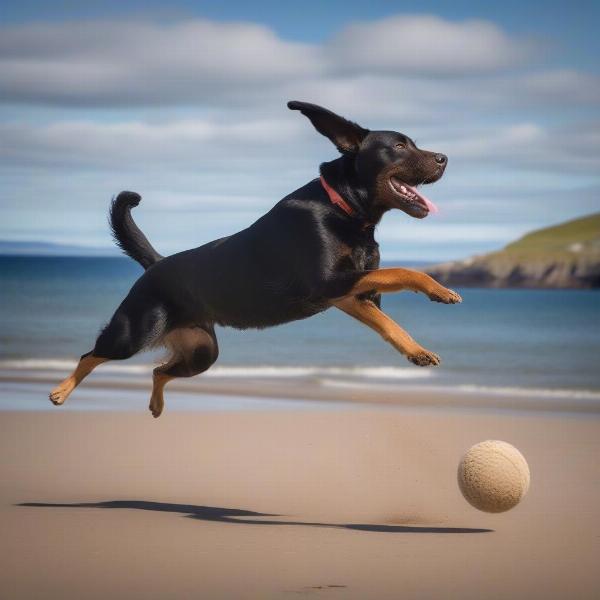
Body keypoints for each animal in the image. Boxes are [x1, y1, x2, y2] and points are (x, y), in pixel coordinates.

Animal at [49, 101, 462, 418]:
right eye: (399, 145)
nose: (444, 158)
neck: (345, 208)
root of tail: (156, 263)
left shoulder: (349, 295)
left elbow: (387, 322)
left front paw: (417, 351)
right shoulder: (329, 282)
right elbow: (404, 270)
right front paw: (439, 289)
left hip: (202, 353)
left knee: (157, 370)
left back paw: (155, 404)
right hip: (133, 333)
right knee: (91, 354)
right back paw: (61, 391)